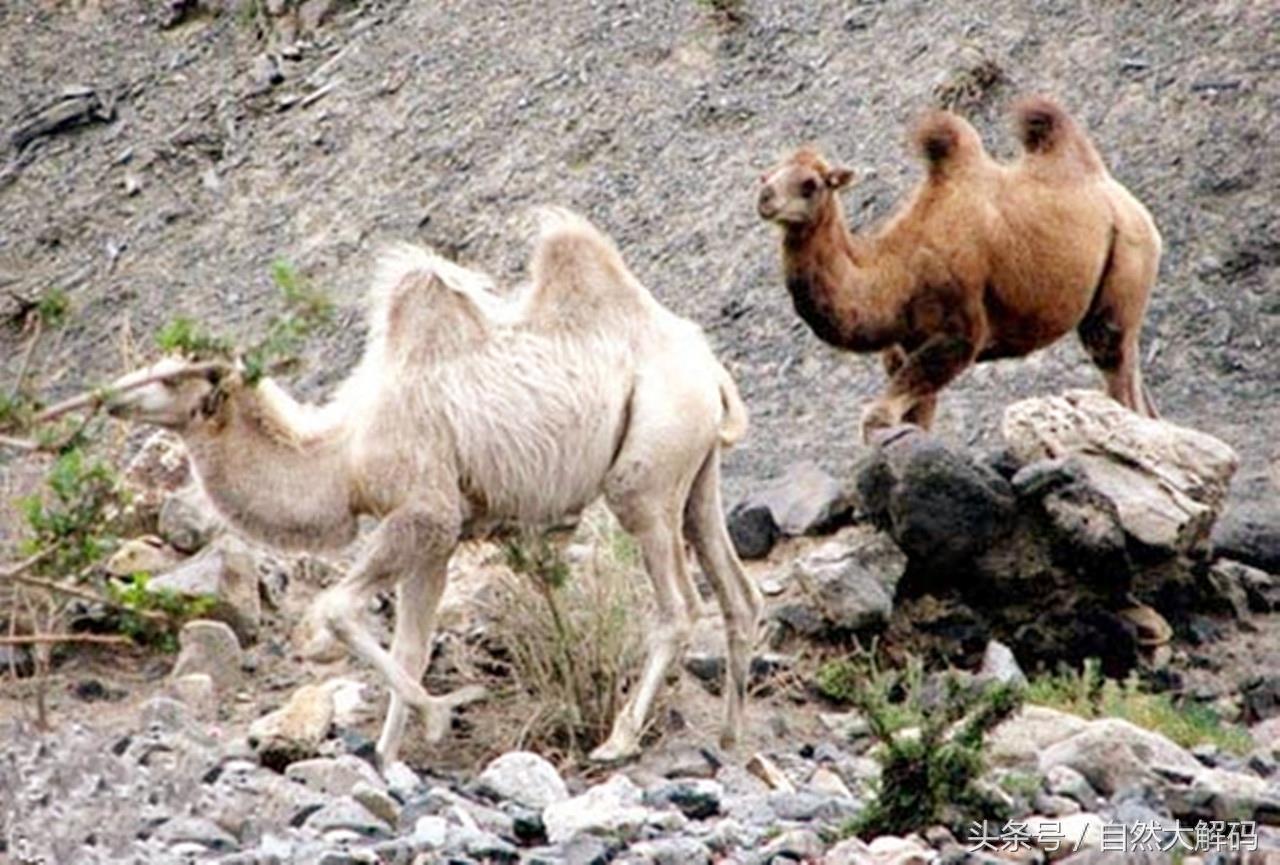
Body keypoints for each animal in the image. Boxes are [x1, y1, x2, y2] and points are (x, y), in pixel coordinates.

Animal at [107, 209, 757, 762]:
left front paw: (442, 715)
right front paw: (388, 756)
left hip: (645, 475)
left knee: (678, 606)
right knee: (737, 591)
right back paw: (731, 738)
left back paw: (618, 742)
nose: (111, 396)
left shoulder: (424, 511)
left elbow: (337, 609)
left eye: (173, 377)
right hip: (696, 473)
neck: (341, 456)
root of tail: (709, 368)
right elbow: (412, 648)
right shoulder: (442, 537)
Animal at [752, 97, 1167, 442]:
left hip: (1128, 262)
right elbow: (914, 423)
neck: (897, 274)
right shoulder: (903, 349)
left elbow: (877, 418)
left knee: (1116, 368)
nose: (765, 198)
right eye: (767, 175)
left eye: (810, 184)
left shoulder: (958, 334)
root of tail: (1121, 197)